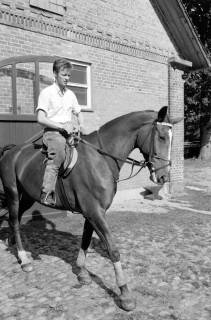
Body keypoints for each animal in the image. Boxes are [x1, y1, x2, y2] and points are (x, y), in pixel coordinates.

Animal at [0, 106, 181, 312]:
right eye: (161, 137)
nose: (163, 177)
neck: (102, 159)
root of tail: (12, 150)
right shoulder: (95, 211)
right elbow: (113, 249)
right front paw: (125, 294)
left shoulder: (92, 212)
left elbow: (85, 241)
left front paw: (82, 272)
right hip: (13, 193)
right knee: (14, 221)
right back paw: (24, 260)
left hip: (28, 197)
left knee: (15, 219)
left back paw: (14, 245)